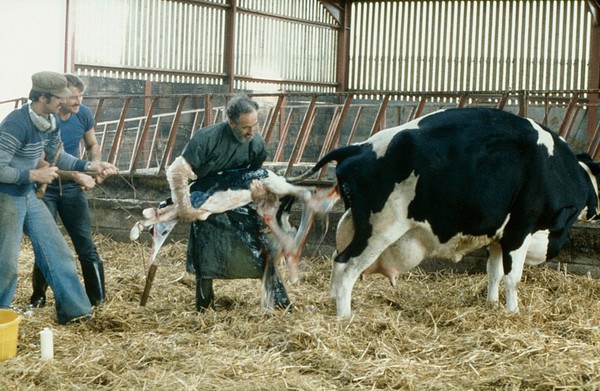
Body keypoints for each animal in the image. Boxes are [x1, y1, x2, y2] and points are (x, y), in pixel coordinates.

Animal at [294, 106, 600, 318]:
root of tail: (357, 147)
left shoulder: (498, 236)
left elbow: (494, 273)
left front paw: (491, 304)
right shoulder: (519, 230)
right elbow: (512, 278)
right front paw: (513, 312)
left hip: (355, 222)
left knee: (337, 260)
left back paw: (331, 301)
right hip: (380, 229)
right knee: (346, 266)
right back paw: (345, 316)